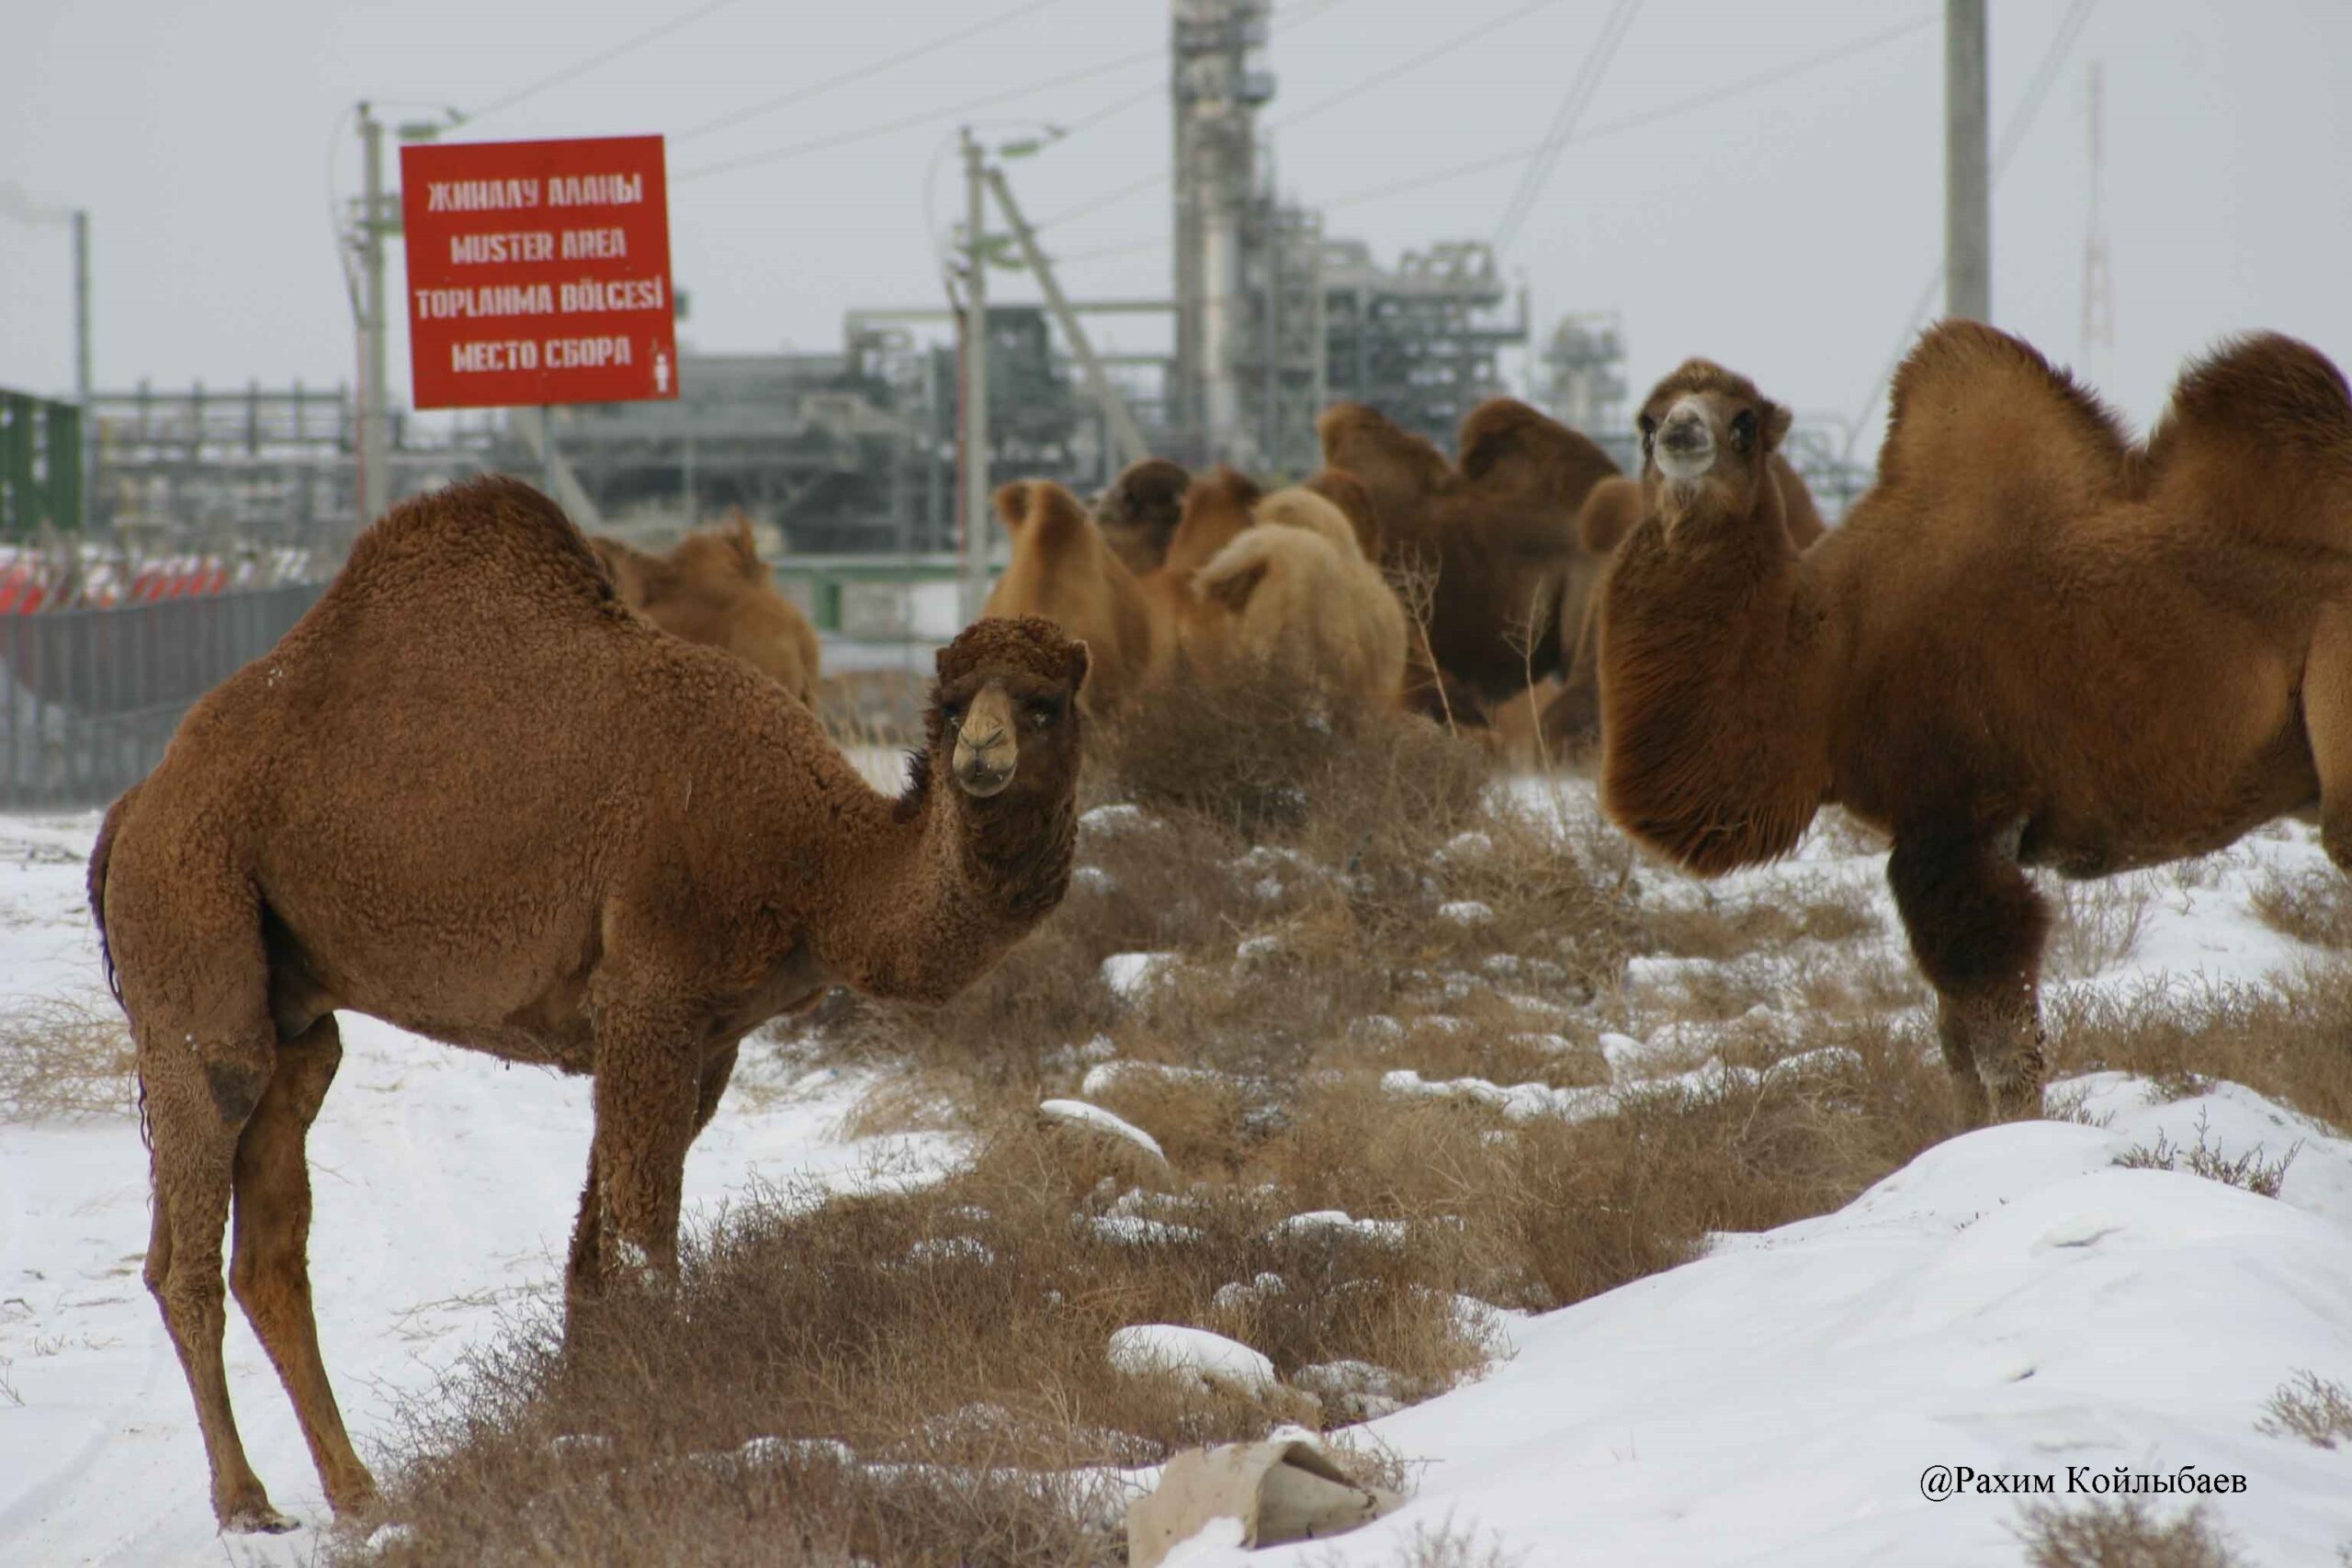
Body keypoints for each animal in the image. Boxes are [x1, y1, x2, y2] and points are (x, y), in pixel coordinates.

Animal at [85, 479, 1091, 1532]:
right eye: (952, 704)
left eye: (1045, 703)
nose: (980, 756)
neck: (815, 859)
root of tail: (137, 804)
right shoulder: (654, 983)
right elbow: (644, 1226)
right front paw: (671, 1396)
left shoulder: (708, 1034)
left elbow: (596, 1239)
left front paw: (594, 1408)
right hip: (192, 913)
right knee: (195, 1200)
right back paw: (244, 1500)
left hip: (291, 1004)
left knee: (270, 1235)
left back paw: (356, 1488)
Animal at [1589, 329, 2352, 1128]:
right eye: (1645, 419)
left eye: (1743, 422)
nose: (1680, 433)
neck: (1827, 650)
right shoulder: (1940, 831)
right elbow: (1955, 1042)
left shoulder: (1960, 822)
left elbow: (1999, 1043)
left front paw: (2014, 1141)